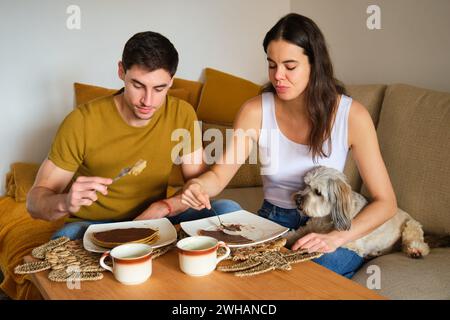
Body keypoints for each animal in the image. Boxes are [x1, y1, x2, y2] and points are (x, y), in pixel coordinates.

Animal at [288, 166, 428, 258]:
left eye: (318, 192)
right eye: (306, 185)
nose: (297, 199)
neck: (327, 218)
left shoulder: (350, 242)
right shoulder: (308, 228)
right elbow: (295, 234)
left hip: (411, 225)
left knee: (415, 243)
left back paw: (416, 250)